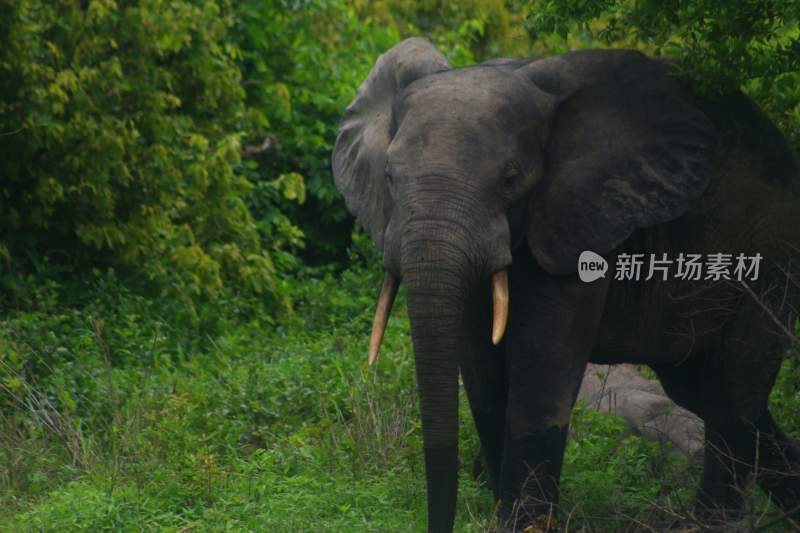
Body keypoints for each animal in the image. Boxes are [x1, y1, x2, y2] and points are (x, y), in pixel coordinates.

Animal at [330, 38, 800, 532]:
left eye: (510, 180)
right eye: (389, 178)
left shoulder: (582, 215)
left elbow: (542, 372)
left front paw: (522, 525)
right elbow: (481, 374)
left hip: (771, 248)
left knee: (733, 391)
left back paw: (712, 524)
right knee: (702, 390)